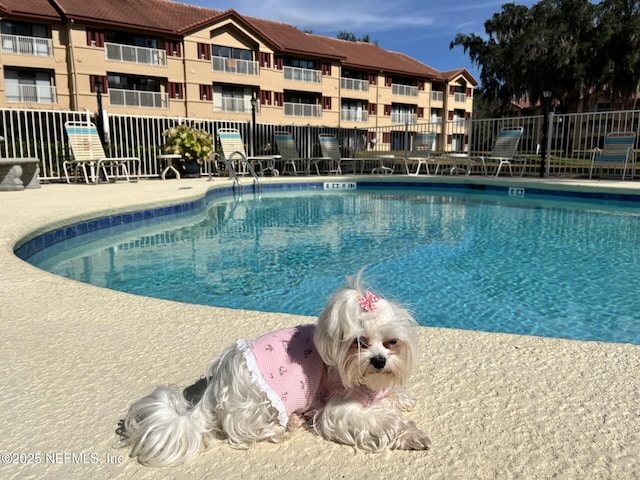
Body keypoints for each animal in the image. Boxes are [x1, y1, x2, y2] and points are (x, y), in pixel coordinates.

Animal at [120, 276, 430, 466]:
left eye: (391, 343)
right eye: (359, 342)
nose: (378, 361)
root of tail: (216, 387)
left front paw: (399, 396)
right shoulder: (338, 407)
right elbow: (380, 422)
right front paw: (411, 435)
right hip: (261, 403)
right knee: (244, 430)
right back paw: (287, 425)